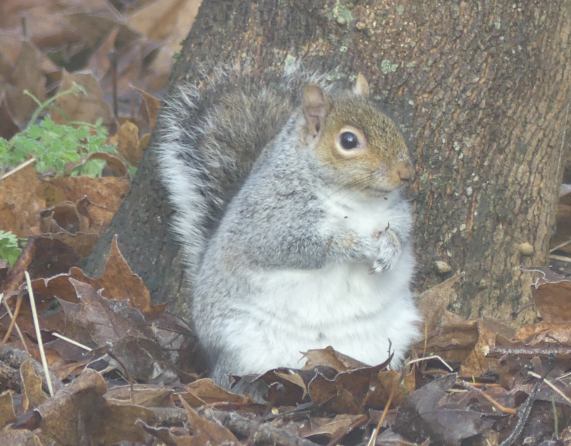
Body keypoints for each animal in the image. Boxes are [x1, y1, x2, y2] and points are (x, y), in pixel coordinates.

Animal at [156, 67, 420, 386]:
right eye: (348, 141)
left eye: (390, 122)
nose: (406, 173)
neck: (357, 199)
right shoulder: (269, 219)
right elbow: (300, 246)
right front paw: (360, 245)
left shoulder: (398, 213)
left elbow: (402, 232)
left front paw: (391, 248)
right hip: (240, 345)